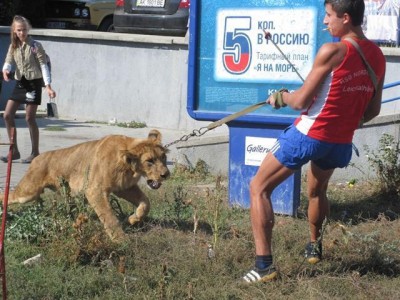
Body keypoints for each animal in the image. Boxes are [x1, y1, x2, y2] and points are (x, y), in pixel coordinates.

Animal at [0, 129, 170, 241]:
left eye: (163, 157)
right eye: (149, 161)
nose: (166, 174)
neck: (129, 168)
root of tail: (37, 157)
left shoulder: (124, 188)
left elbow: (146, 203)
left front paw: (133, 219)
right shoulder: (95, 191)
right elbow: (109, 217)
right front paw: (121, 240)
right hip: (28, 192)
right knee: (8, 195)